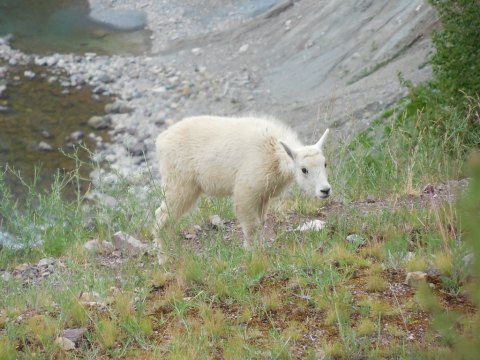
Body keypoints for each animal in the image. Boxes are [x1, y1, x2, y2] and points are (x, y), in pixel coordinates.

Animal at [154, 115, 330, 248]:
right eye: (304, 169)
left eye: (325, 163)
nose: (325, 190)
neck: (274, 153)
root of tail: (161, 141)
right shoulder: (246, 190)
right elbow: (251, 226)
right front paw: (251, 252)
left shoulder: (263, 195)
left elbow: (261, 223)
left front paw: (260, 248)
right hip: (179, 183)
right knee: (162, 216)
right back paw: (165, 258)